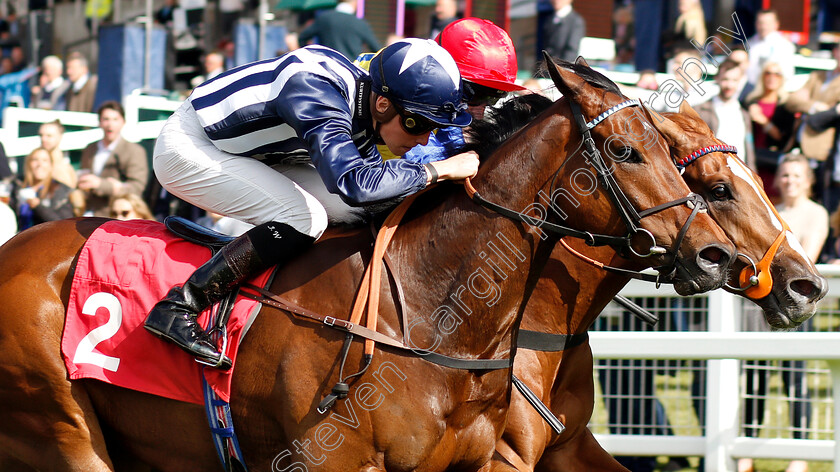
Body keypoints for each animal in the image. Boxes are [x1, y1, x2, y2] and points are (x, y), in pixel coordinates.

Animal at [0, 57, 736, 470]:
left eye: (669, 151)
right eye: (626, 150)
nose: (715, 251)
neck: (433, 312)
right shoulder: (338, 461)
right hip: (63, 432)